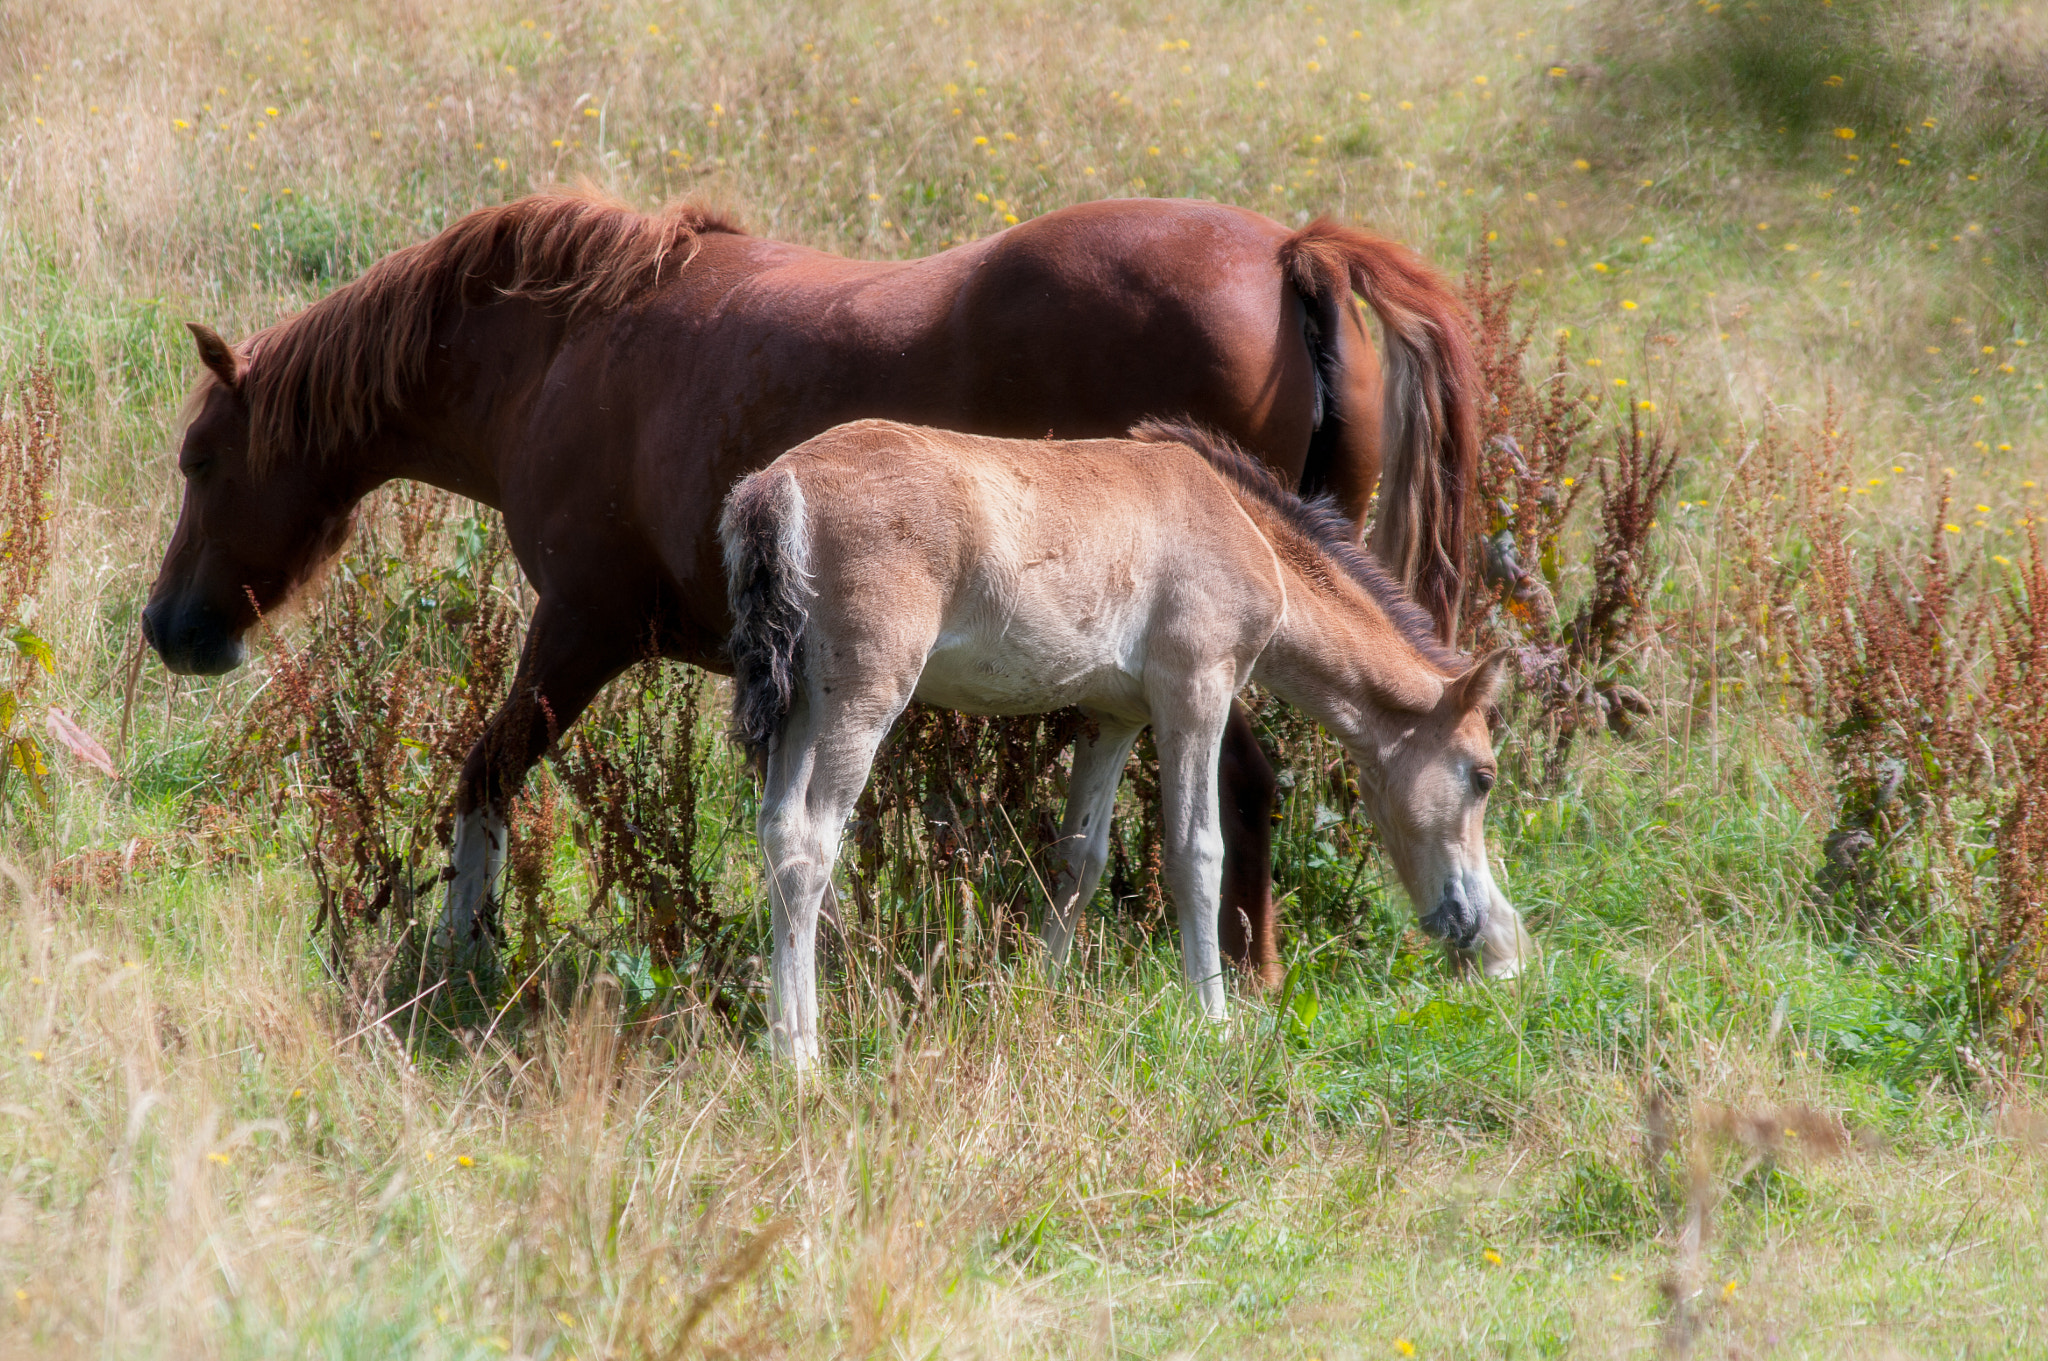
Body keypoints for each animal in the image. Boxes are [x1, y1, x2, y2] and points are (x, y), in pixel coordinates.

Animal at [144, 191, 1482, 978]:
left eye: (199, 459)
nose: (170, 628)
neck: (560, 347)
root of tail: (1286, 251)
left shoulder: (579, 629)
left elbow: (484, 775)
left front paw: (469, 952)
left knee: (1243, 793)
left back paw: (1240, 975)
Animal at [724, 419, 1540, 1064]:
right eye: (1483, 776)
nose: (1495, 941)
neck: (1241, 527)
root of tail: (777, 485)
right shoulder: (1197, 690)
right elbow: (1197, 852)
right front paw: (1214, 1016)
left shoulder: (1112, 717)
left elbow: (1078, 859)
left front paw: (1040, 995)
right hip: (863, 695)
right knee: (806, 844)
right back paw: (799, 1053)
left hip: (801, 709)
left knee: (775, 830)